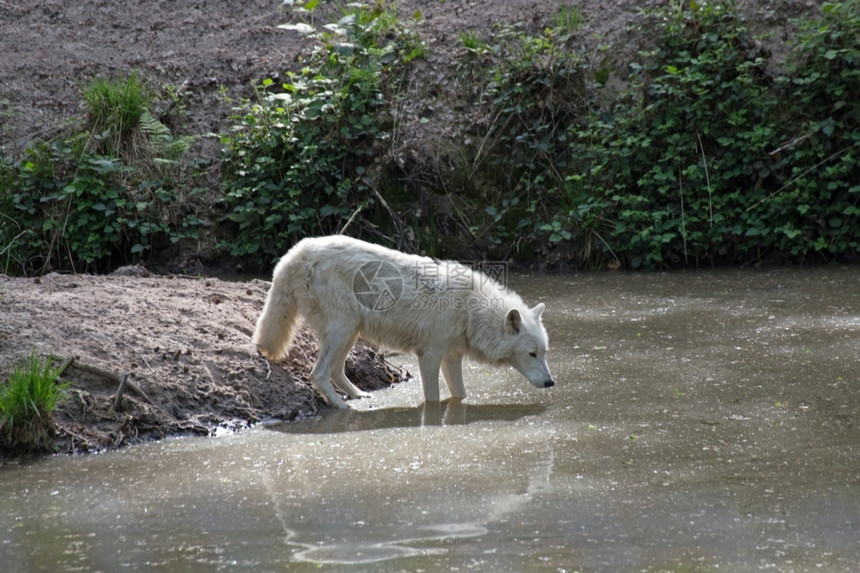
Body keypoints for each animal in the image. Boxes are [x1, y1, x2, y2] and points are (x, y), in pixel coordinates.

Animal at [252, 233, 556, 406]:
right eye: (531, 354)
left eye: (543, 353)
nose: (551, 383)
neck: (470, 311)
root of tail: (296, 252)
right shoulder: (429, 357)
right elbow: (433, 398)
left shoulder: (451, 357)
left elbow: (461, 395)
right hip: (343, 330)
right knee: (318, 373)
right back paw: (342, 406)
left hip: (349, 333)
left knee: (336, 371)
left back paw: (358, 396)